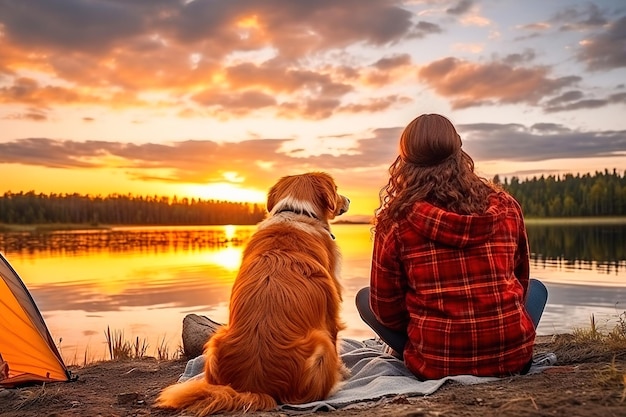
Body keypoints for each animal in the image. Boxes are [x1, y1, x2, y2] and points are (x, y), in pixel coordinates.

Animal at [155, 171, 348, 414]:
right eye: (337, 189)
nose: (349, 199)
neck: (296, 213)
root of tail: (256, 388)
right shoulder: (332, 310)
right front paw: (344, 371)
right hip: (321, 346)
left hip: (216, 340)